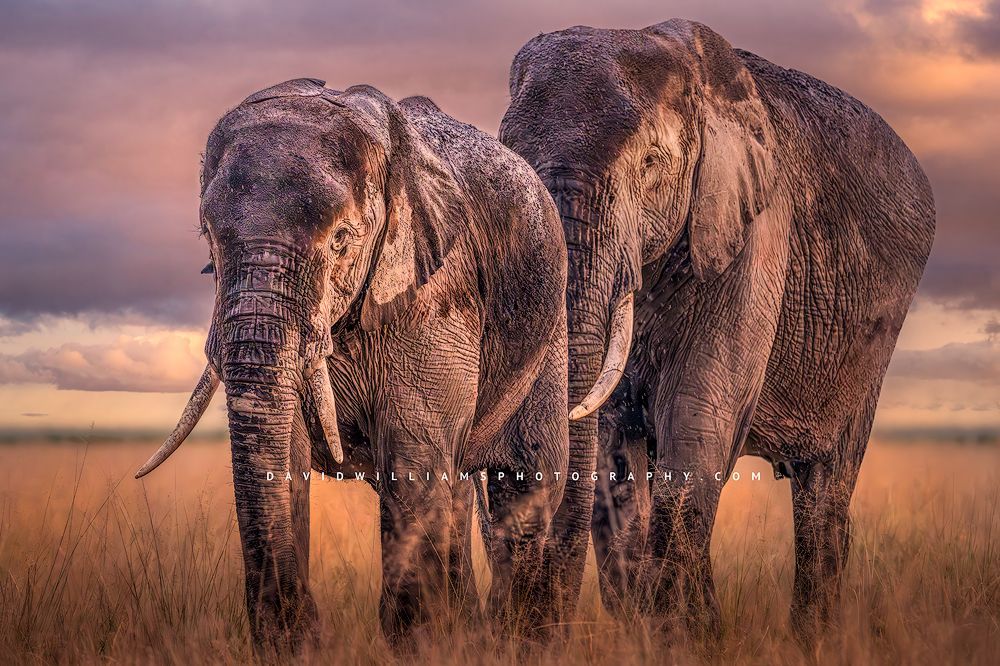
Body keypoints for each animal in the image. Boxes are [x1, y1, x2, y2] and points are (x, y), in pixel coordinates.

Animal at [135, 78, 585, 648]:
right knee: (460, 489)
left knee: (524, 485)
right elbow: (286, 457)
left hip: (548, 329)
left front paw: (418, 646)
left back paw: (519, 641)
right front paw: (294, 645)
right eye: (208, 238)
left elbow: (413, 457)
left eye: (342, 240)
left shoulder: (438, 291)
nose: (313, 631)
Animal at [499, 19, 935, 639]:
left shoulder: (755, 229)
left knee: (825, 489)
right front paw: (660, 630)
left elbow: (696, 416)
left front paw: (686, 635)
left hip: (871, 346)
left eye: (653, 164)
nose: (538, 629)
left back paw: (813, 639)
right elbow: (614, 441)